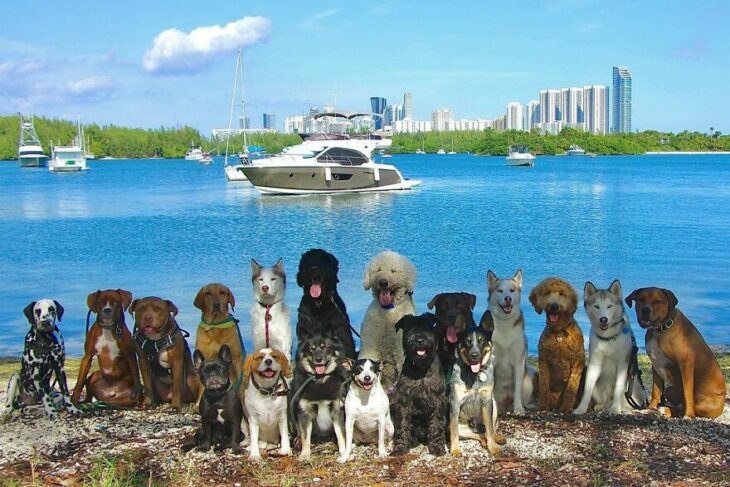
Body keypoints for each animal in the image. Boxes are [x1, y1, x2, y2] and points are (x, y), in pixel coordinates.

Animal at [390, 312, 446, 458]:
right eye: (410, 328)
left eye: (427, 326)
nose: (420, 340)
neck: (421, 368)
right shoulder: (404, 400)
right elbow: (402, 424)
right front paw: (400, 447)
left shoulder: (438, 399)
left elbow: (436, 423)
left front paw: (437, 446)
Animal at [528, 278, 584, 412]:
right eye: (547, 293)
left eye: (562, 293)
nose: (554, 306)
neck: (559, 332)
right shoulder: (543, 361)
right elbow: (544, 386)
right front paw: (543, 406)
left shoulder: (577, 362)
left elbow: (571, 388)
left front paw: (567, 408)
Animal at [624, 286, 724, 420]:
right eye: (641, 299)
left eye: (658, 301)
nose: (645, 309)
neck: (661, 329)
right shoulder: (656, 365)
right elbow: (656, 391)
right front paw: (651, 408)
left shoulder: (686, 365)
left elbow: (688, 394)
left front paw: (689, 415)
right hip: (669, 390)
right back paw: (665, 409)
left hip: (708, 406)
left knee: (689, 406)